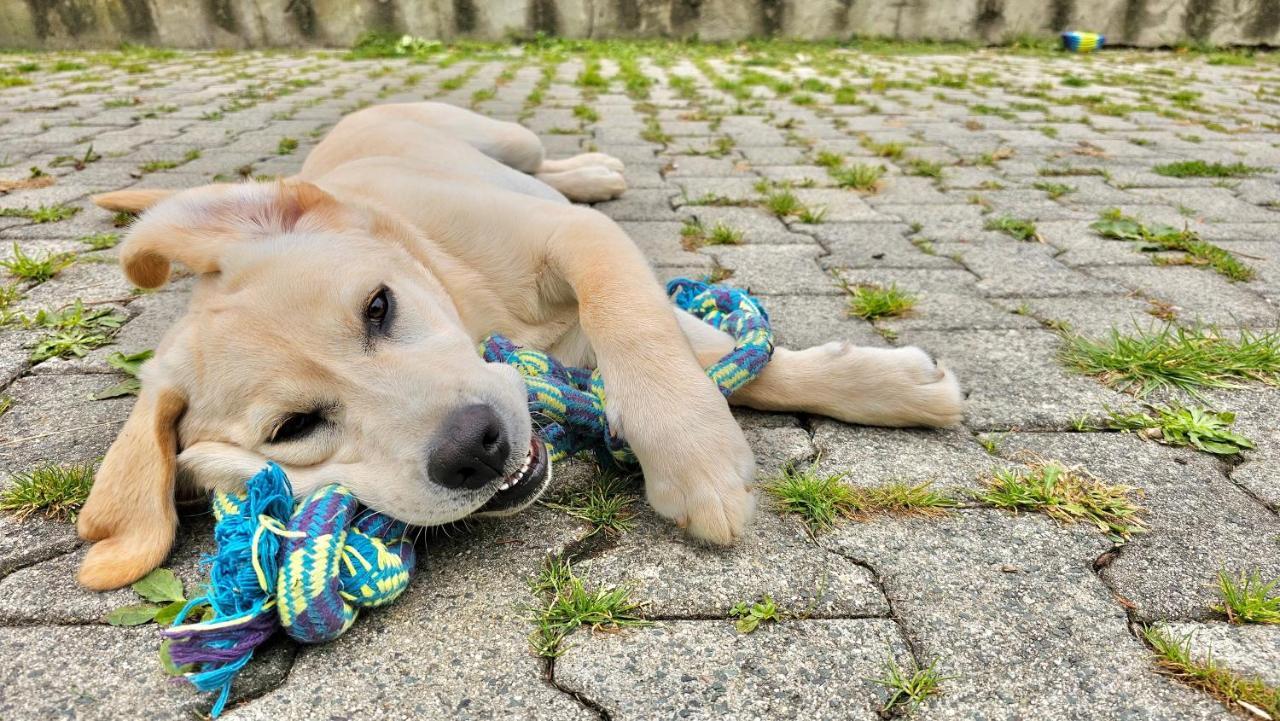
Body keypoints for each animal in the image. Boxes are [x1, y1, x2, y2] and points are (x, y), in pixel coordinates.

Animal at [74, 103, 962, 591]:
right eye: (292, 428)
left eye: (379, 306)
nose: (476, 447)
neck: (463, 296)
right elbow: (726, 363)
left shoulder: (575, 243)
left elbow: (660, 333)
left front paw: (695, 451)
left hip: (507, 140)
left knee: (551, 167)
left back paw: (595, 169)